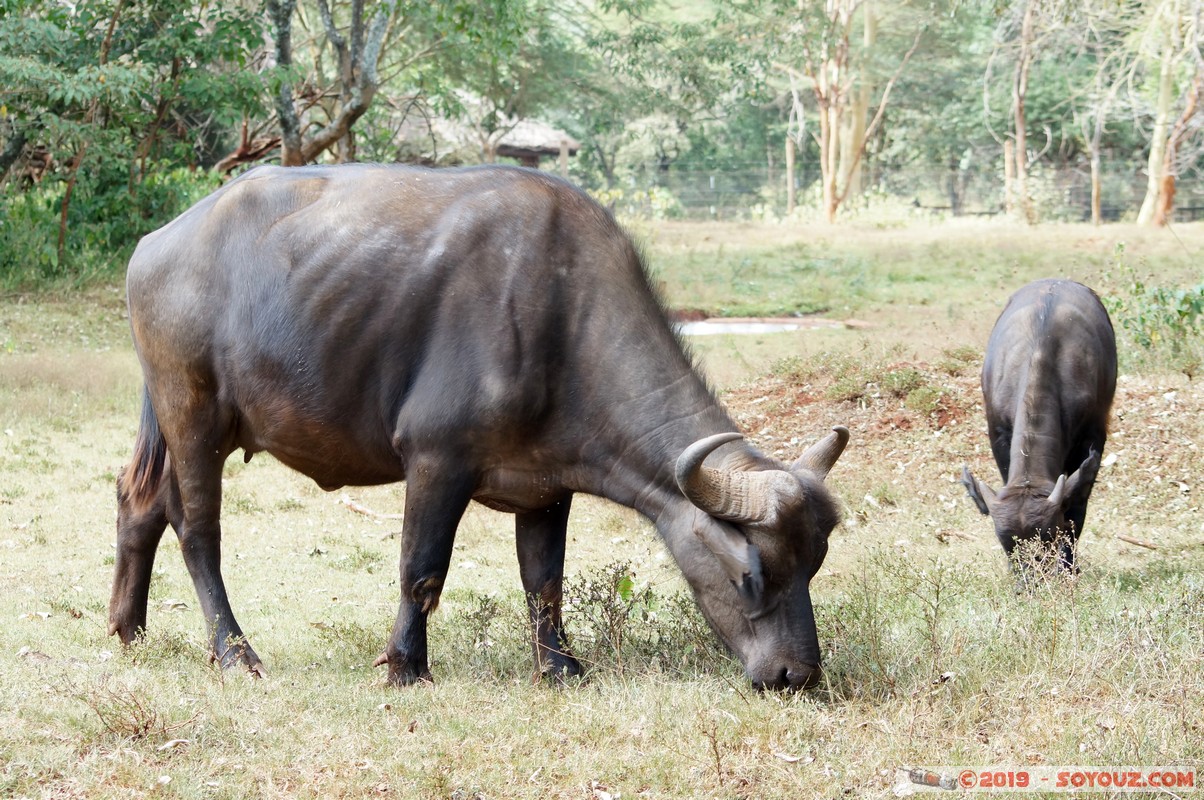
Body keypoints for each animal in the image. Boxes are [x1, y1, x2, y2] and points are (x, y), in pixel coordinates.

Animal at [108, 162, 852, 689]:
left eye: (814, 564)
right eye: (753, 575)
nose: (794, 674)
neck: (562, 319)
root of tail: (156, 244)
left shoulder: (547, 489)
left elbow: (543, 580)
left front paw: (558, 666)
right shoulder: (437, 460)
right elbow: (421, 570)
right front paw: (407, 665)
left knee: (139, 502)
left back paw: (127, 628)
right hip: (193, 417)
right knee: (197, 529)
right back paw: (235, 652)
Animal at [958, 279, 1117, 568]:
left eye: (1049, 538)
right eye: (1007, 545)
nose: (1031, 577)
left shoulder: (1093, 436)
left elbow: (1076, 509)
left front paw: (1068, 566)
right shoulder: (997, 433)